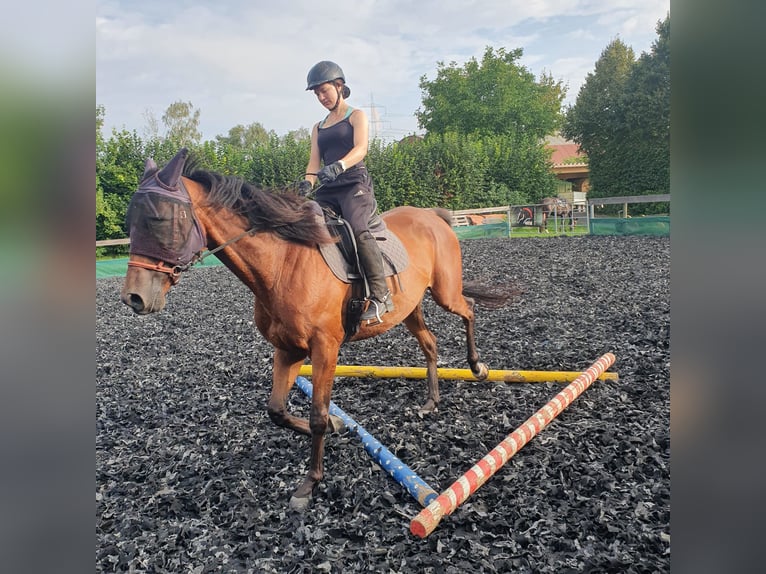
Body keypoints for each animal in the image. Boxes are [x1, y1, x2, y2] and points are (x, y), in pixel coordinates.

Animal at [120, 150, 516, 512]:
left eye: (159, 219)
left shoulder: (325, 348)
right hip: (409, 310)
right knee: (431, 344)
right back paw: (431, 402)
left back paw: (478, 367)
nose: (134, 298)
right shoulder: (288, 349)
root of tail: (432, 215)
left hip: (445, 292)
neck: (282, 263)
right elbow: (277, 410)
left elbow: (318, 417)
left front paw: (310, 483)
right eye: (131, 222)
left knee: (469, 311)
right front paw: (340, 428)